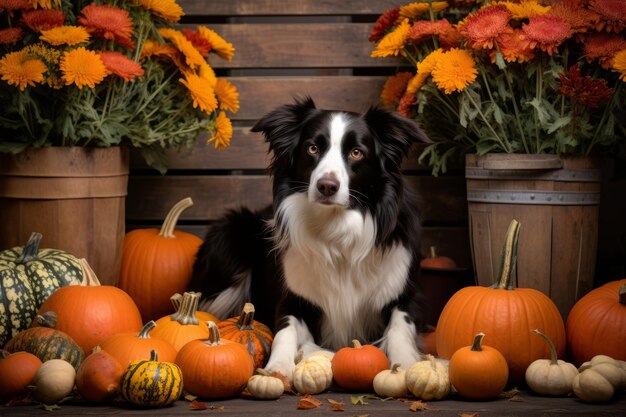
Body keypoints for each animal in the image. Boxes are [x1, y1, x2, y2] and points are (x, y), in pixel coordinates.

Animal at [189, 96, 428, 376]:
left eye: (356, 152)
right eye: (313, 148)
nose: (327, 186)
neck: (336, 230)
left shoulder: (406, 295)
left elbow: (401, 327)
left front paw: (408, 365)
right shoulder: (292, 300)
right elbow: (285, 331)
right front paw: (277, 367)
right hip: (231, 230)